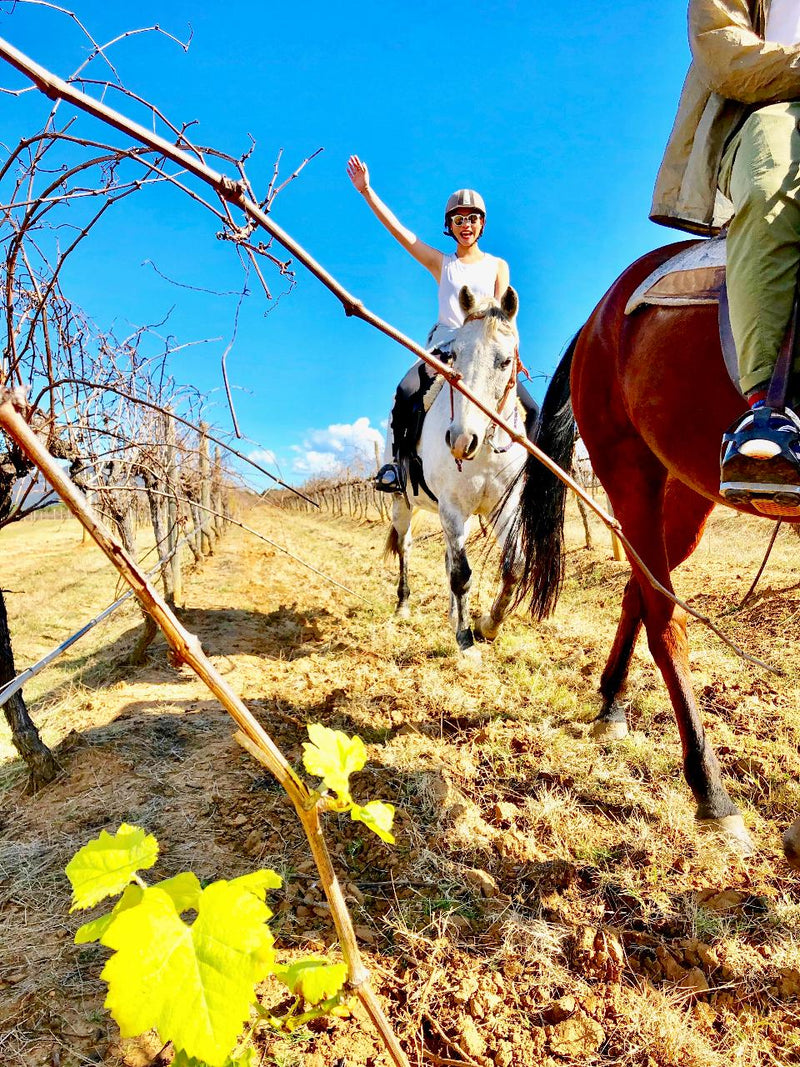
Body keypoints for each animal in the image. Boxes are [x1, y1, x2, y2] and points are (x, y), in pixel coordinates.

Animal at [386, 283, 529, 653]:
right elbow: (462, 574)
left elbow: (514, 565)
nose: (462, 440)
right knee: (406, 547)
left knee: (449, 558)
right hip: (402, 503)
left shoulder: (503, 507)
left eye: (505, 361)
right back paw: (403, 606)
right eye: (454, 357)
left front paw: (488, 626)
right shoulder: (450, 507)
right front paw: (466, 642)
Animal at [509, 242, 800, 866]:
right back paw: (711, 792)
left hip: (691, 485)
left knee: (639, 589)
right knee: (665, 618)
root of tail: (600, 314)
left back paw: (611, 705)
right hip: (628, 467)